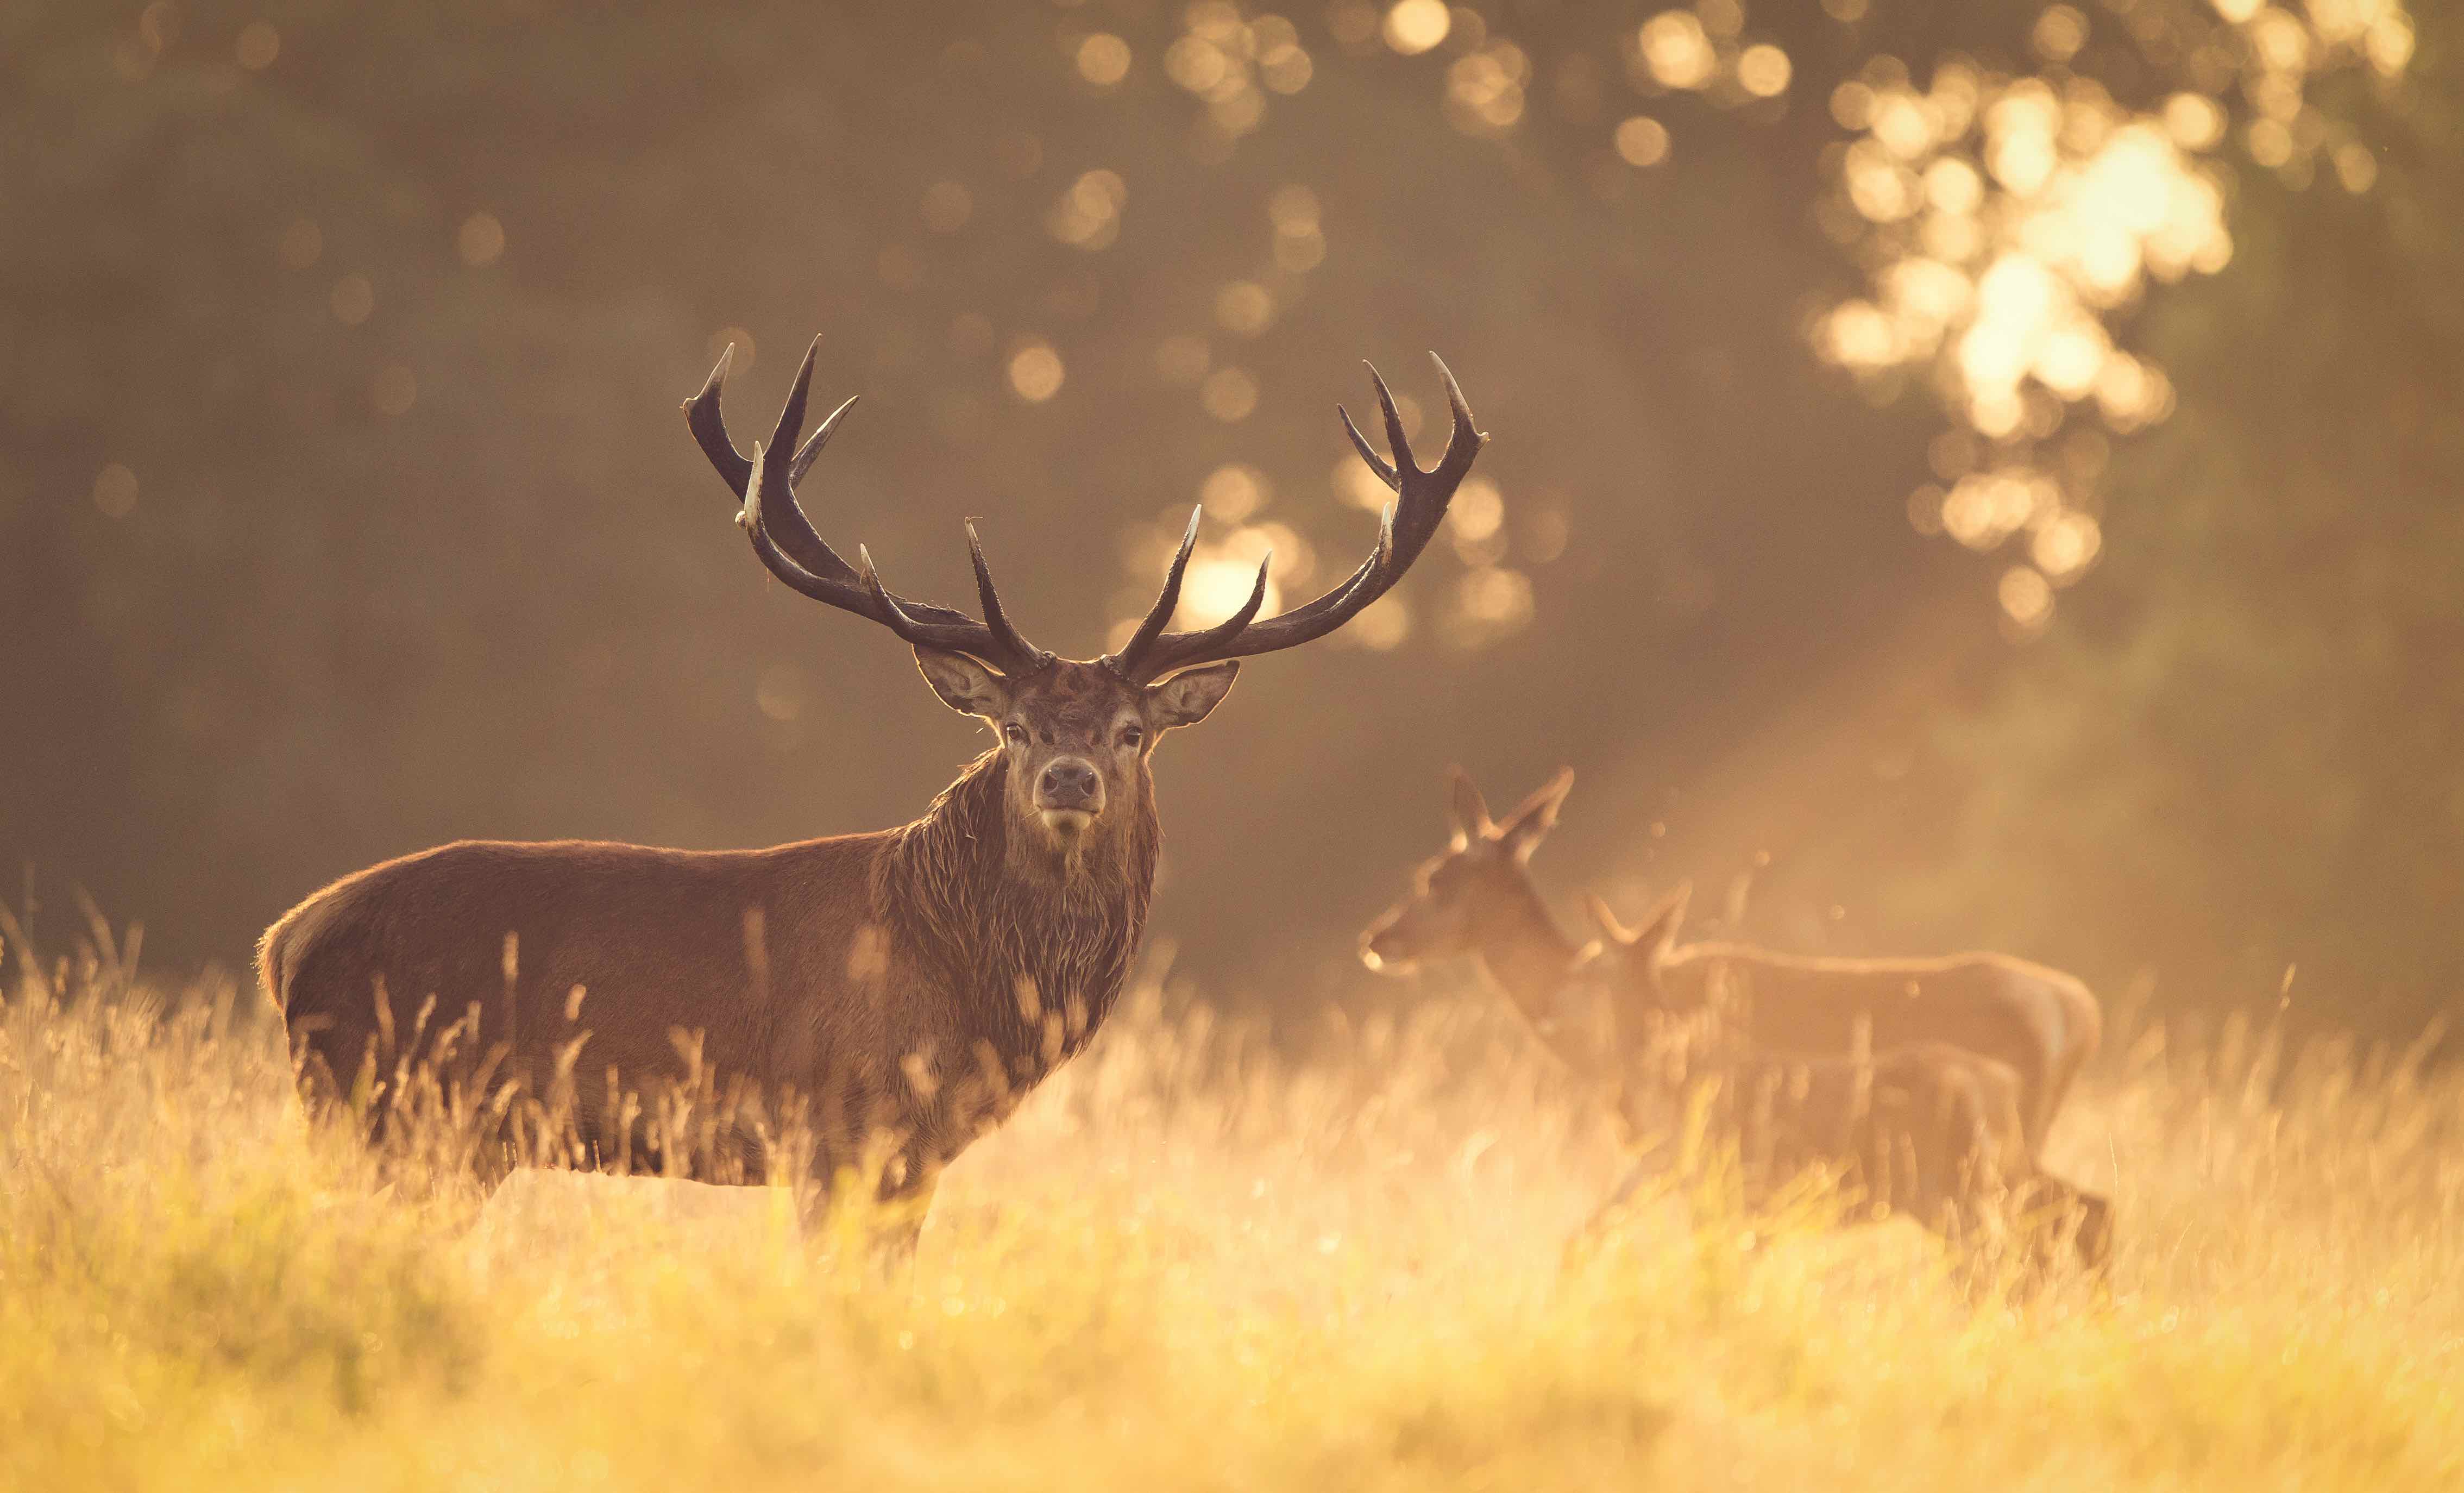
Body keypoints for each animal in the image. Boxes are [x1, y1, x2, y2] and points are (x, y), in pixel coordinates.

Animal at [267, 340, 1478, 1241]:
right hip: (385, 1109)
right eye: (1013, 726)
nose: (1071, 774)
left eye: (1135, 731)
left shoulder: (914, 1153)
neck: (971, 990)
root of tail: (284, 940)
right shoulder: (840, 1127)